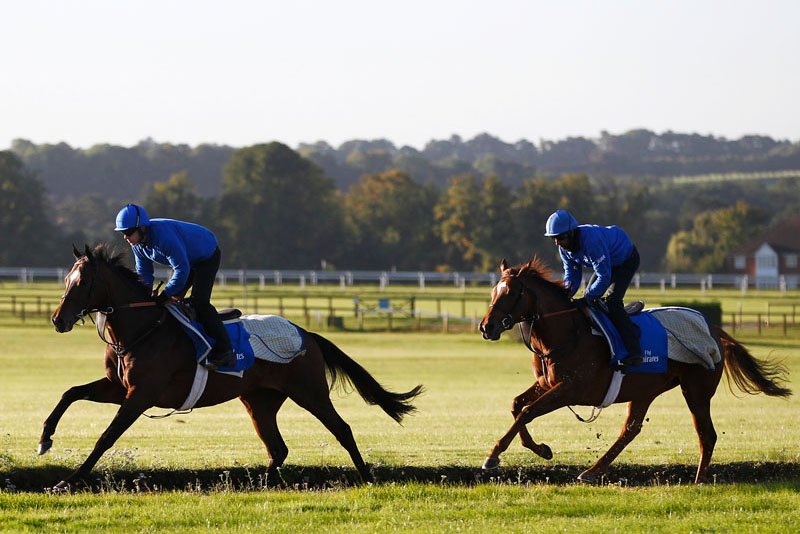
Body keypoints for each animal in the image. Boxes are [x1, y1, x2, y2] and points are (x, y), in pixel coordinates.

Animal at [43, 245, 422, 492]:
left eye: (81, 282)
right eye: (66, 280)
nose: (58, 319)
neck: (142, 328)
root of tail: (307, 333)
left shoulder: (141, 394)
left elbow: (106, 436)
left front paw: (66, 481)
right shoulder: (119, 387)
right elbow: (70, 393)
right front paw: (45, 438)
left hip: (309, 392)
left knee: (342, 429)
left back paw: (367, 478)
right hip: (259, 401)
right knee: (278, 447)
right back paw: (264, 485)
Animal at [478, 258, 792, 486]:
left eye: (510, 293)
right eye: (493, 292)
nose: (486, 327)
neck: (568, 333)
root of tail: (715, 331)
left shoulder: (572, 388)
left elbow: (528, 411)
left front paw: (493, 456)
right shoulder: (548, 383)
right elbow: (517, 405)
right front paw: (541, 449)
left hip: (696, 391)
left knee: (707, 434)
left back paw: (699, 480)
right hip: (645, 391)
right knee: (631, 429)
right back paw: (593, 471)